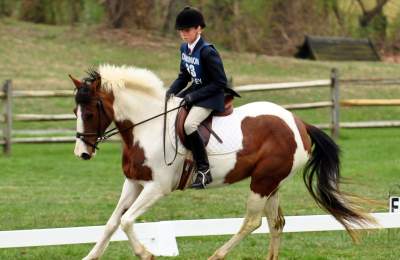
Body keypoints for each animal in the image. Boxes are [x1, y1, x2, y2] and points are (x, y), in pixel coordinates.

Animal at [69, 63, 376, 260]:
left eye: (90, 112)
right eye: (75, 111)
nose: (82, 153)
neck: (147, 127)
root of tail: (298, 122)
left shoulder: (157, 188)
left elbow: (127, 221)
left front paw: (146, 253)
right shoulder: (133, 183)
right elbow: (113, 222)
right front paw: (91, 256)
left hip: (262, 181)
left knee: (252, 221)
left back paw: (216, 255)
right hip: (273, 183)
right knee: (275, 222)